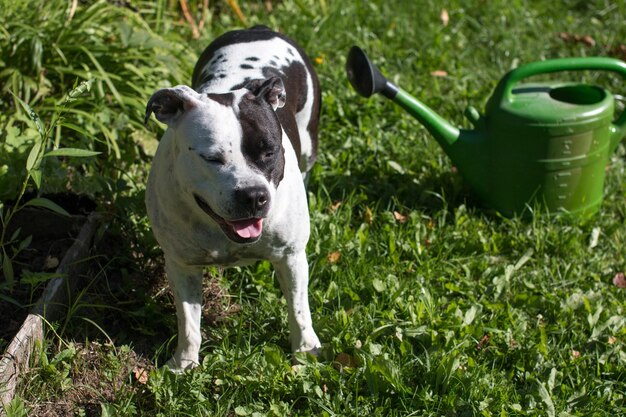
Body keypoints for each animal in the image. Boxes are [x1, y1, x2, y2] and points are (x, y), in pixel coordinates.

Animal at [145, 26, 322, 368]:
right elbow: (188, 321)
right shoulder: (181, 263)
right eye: (212, 158)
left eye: (270, 152)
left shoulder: (291, 256)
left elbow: (299, 309)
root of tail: (258, 29)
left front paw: (305, 352)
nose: (253, 195)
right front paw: (184, 363)